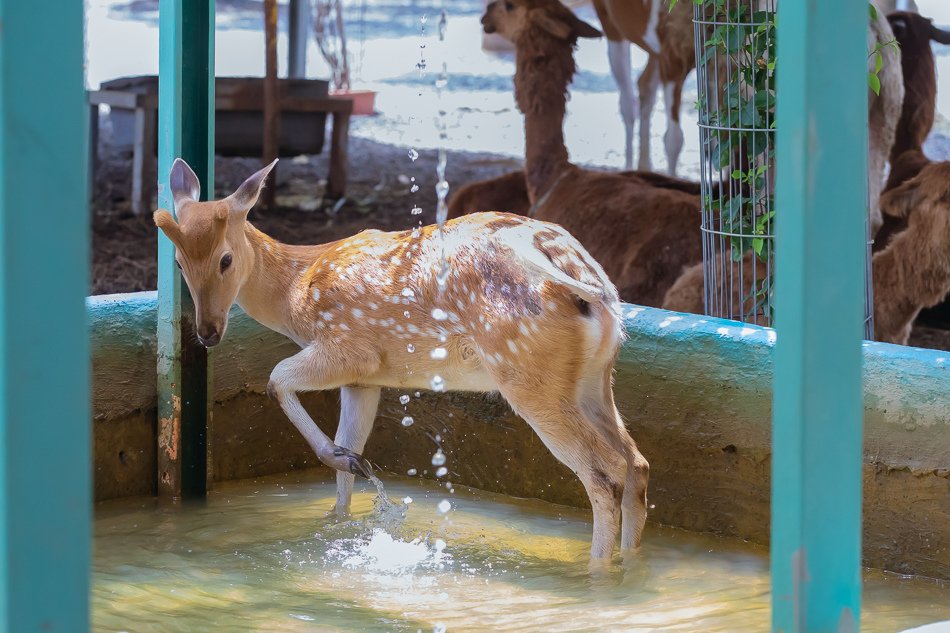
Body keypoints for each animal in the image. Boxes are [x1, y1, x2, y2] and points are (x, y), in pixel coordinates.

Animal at [156, 157, 656, 556]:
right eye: (177, 262)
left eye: (225, 259)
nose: (208, 333)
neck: (297, 292)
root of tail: (592, 284)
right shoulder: (365, 379)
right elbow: (350, 450)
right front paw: (339, 506)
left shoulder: (348, 349)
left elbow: (277, 377)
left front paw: (339, 462)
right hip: (594, 377)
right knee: (636, 462)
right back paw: (629, 564)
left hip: (530, 373)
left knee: (605, 471)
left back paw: (596, 572)